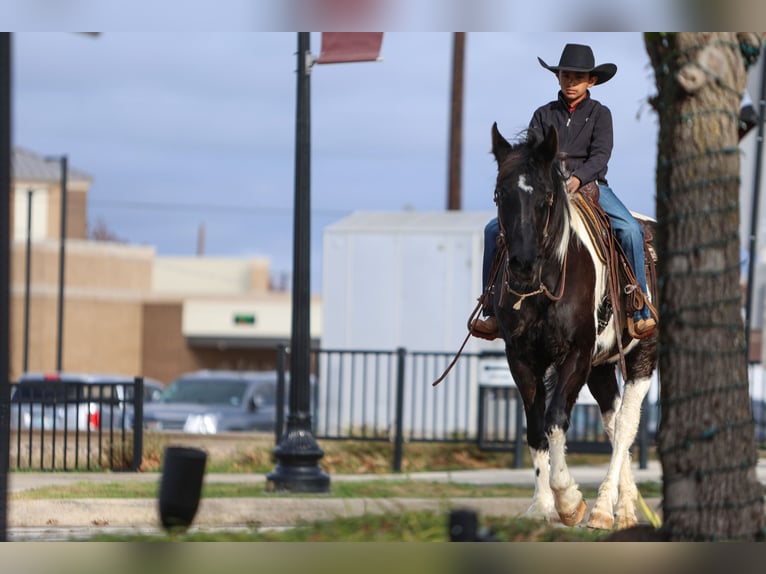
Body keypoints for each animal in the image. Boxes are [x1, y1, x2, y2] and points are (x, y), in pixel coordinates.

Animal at [492, 121, 660, 532]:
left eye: (545, 197)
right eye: (500, 195)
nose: (521, 265)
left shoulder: (576, 355)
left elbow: (555, 421)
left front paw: (568, 500)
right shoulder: (521, 359)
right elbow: (536, 427)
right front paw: (540, 507)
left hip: (642, 355)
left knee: (626, 425)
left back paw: (602, 510)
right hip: (601, 366)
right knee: (613, 421)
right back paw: (624, 511)